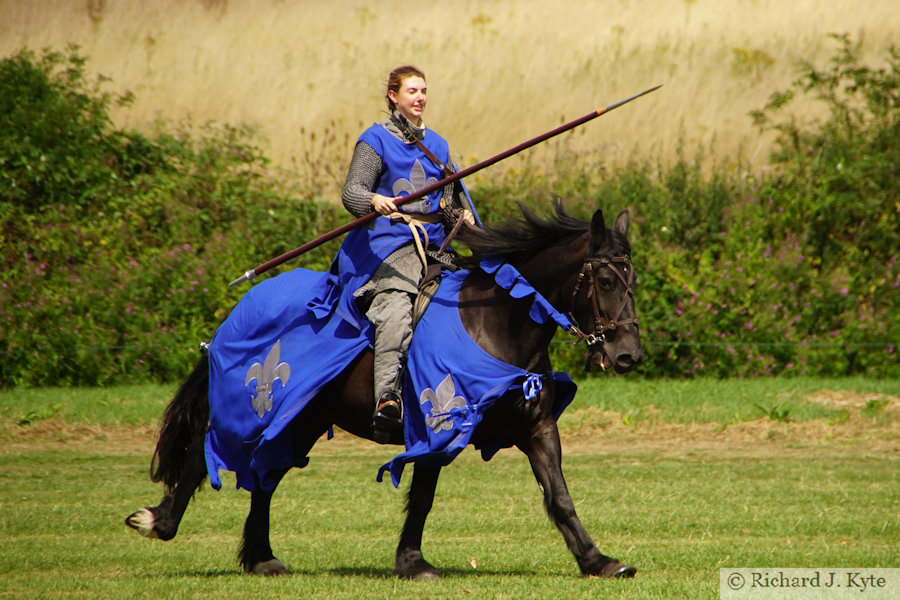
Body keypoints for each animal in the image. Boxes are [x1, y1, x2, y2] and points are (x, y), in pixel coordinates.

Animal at [126, 204, 644, 580]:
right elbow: (423, 498)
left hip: (300, 419)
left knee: (264, 476)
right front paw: (413, 564)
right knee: (204, 455)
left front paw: (598, 561)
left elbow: (558, 496)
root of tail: (240, 308)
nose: (628, 355)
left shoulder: (535, 429)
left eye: (632, 281)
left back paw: (261, 558)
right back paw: (160, 522)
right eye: (604, 280)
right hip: (256, 408)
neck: (494, 322)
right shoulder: (441, 425)